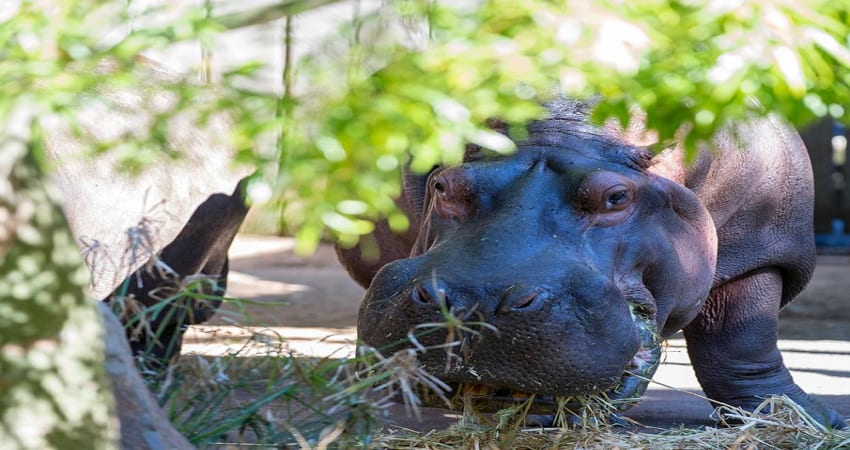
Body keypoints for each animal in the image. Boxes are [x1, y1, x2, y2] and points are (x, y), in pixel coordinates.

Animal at [336, 99, 840, 428]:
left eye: (615, 196)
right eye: (445, 185)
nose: (470, 304)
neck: (568, 129)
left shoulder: (761, 249)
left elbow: (741, 336)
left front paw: (807, 418)